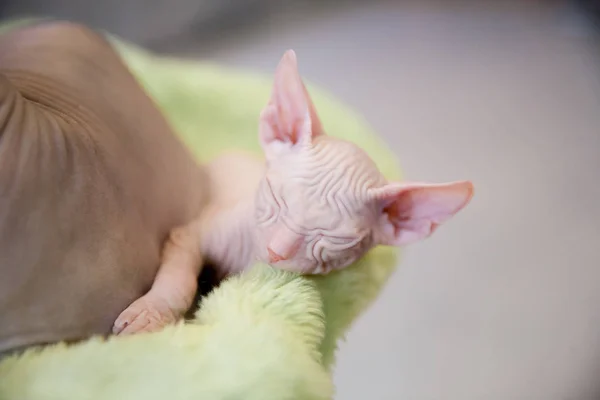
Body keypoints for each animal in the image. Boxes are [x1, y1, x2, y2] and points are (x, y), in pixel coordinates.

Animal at [112, 51, 476, 336]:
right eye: (275, 197)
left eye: (336, 240)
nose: (276, 251)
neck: (249, 256)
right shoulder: (192, 232)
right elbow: (179, 278)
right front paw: (150, 314)